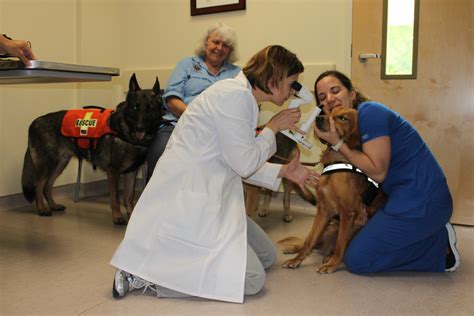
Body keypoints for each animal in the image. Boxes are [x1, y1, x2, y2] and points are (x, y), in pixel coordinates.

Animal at [22, 74, 165, 225]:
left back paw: (53, 206)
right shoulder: (113, 172)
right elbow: (115, 198)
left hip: (60, 164)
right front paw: (118, 217)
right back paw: (42, 209)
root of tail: (34, 122)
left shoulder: (130, 172)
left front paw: (132, 216)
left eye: (150, 108)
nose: (139, 128)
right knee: (38, 186)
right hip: (48, 164)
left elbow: (129, 198)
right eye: (135, 107)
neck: (126, 132)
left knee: (47, 186)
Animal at [282, 107, 386, 272]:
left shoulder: (347, 213)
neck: (336, 161)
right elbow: (309, 240)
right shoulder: (324, 210)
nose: (318, 118)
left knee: (339, 245)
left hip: (353, 227)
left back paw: (329, 257)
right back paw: (294, 248)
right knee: (310, 242)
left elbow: (340, 244)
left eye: (343, 118)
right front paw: (296, 260)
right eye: (330, 111)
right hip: (329, 228)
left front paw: (332, 264)